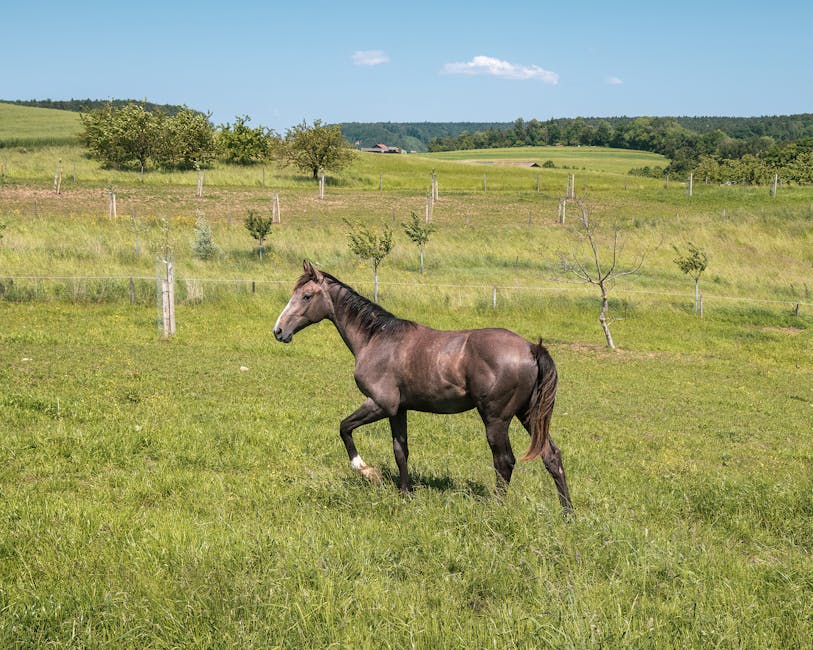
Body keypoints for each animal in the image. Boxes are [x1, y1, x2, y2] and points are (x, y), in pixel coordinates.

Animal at [272, 260, 572, 512]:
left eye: (306, 296)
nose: (278, 331)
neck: (377, 339)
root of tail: (532, 348)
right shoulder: (398, 411)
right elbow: (400, 452)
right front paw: (405, 494)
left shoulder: (380, 404)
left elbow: (344, 428)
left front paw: (367, 471)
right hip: (528, 415)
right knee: (551, 456)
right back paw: (567, 513)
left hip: (496, 420)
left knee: (504, 461)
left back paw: (496, 508)